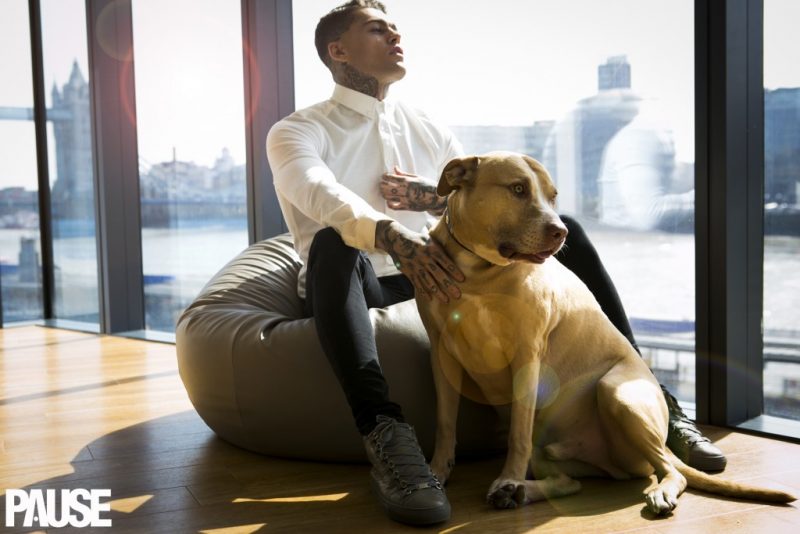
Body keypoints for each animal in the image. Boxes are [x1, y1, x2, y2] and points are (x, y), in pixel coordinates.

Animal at [416, 152, 796, 516]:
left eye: (553, 196)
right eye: (518, 189)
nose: (561, 231)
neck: (480, 271)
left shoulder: (527, 357)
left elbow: (516, 436)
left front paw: (507, 477)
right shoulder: (442, 356)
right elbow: (446, 423)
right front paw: (436, 472)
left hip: (617, 392)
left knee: (671, 471)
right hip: (558, 447)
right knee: (570, 483)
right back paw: (520, 492)